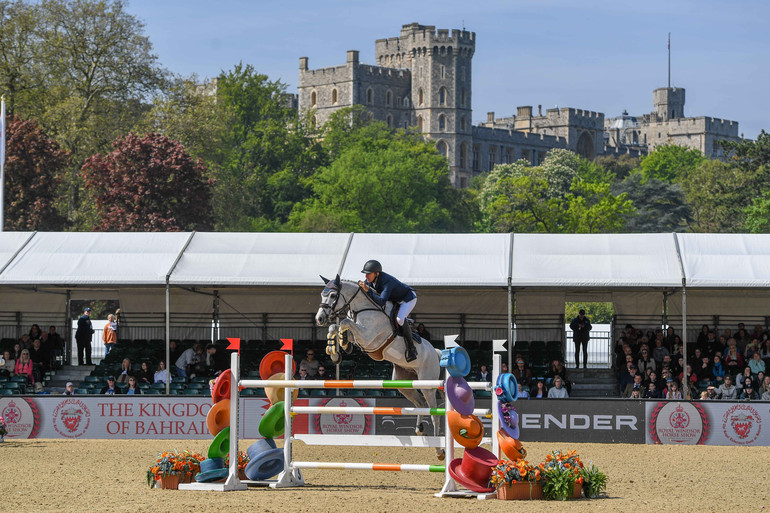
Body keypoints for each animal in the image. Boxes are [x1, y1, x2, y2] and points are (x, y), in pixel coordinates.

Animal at [312, 274, 444, 458]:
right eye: (321, 295)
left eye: (332, 295)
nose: (319, 319)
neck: (362, 309)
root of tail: (436, 352)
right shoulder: (359, 336)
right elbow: (335, 327)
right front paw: (337, 350)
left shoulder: (368, 337)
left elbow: (344, 322)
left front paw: (341, 345)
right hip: (404, 383)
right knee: (421, 404)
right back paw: (419, 430)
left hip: (427, 383)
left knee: (434, 413)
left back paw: (439, 449)